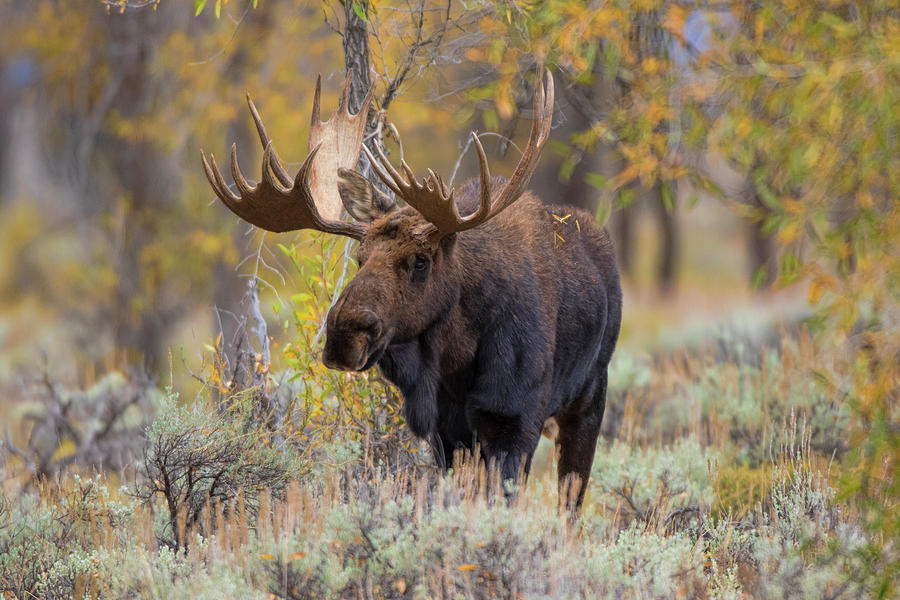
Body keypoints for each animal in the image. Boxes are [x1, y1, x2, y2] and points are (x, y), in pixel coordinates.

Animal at [202, 70, 620, 510]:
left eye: (421, 261)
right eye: (360, 257)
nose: (343, 335)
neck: (454, 359)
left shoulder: (515, 419)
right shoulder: (446, 430)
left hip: (590, 395)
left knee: (572, 499)